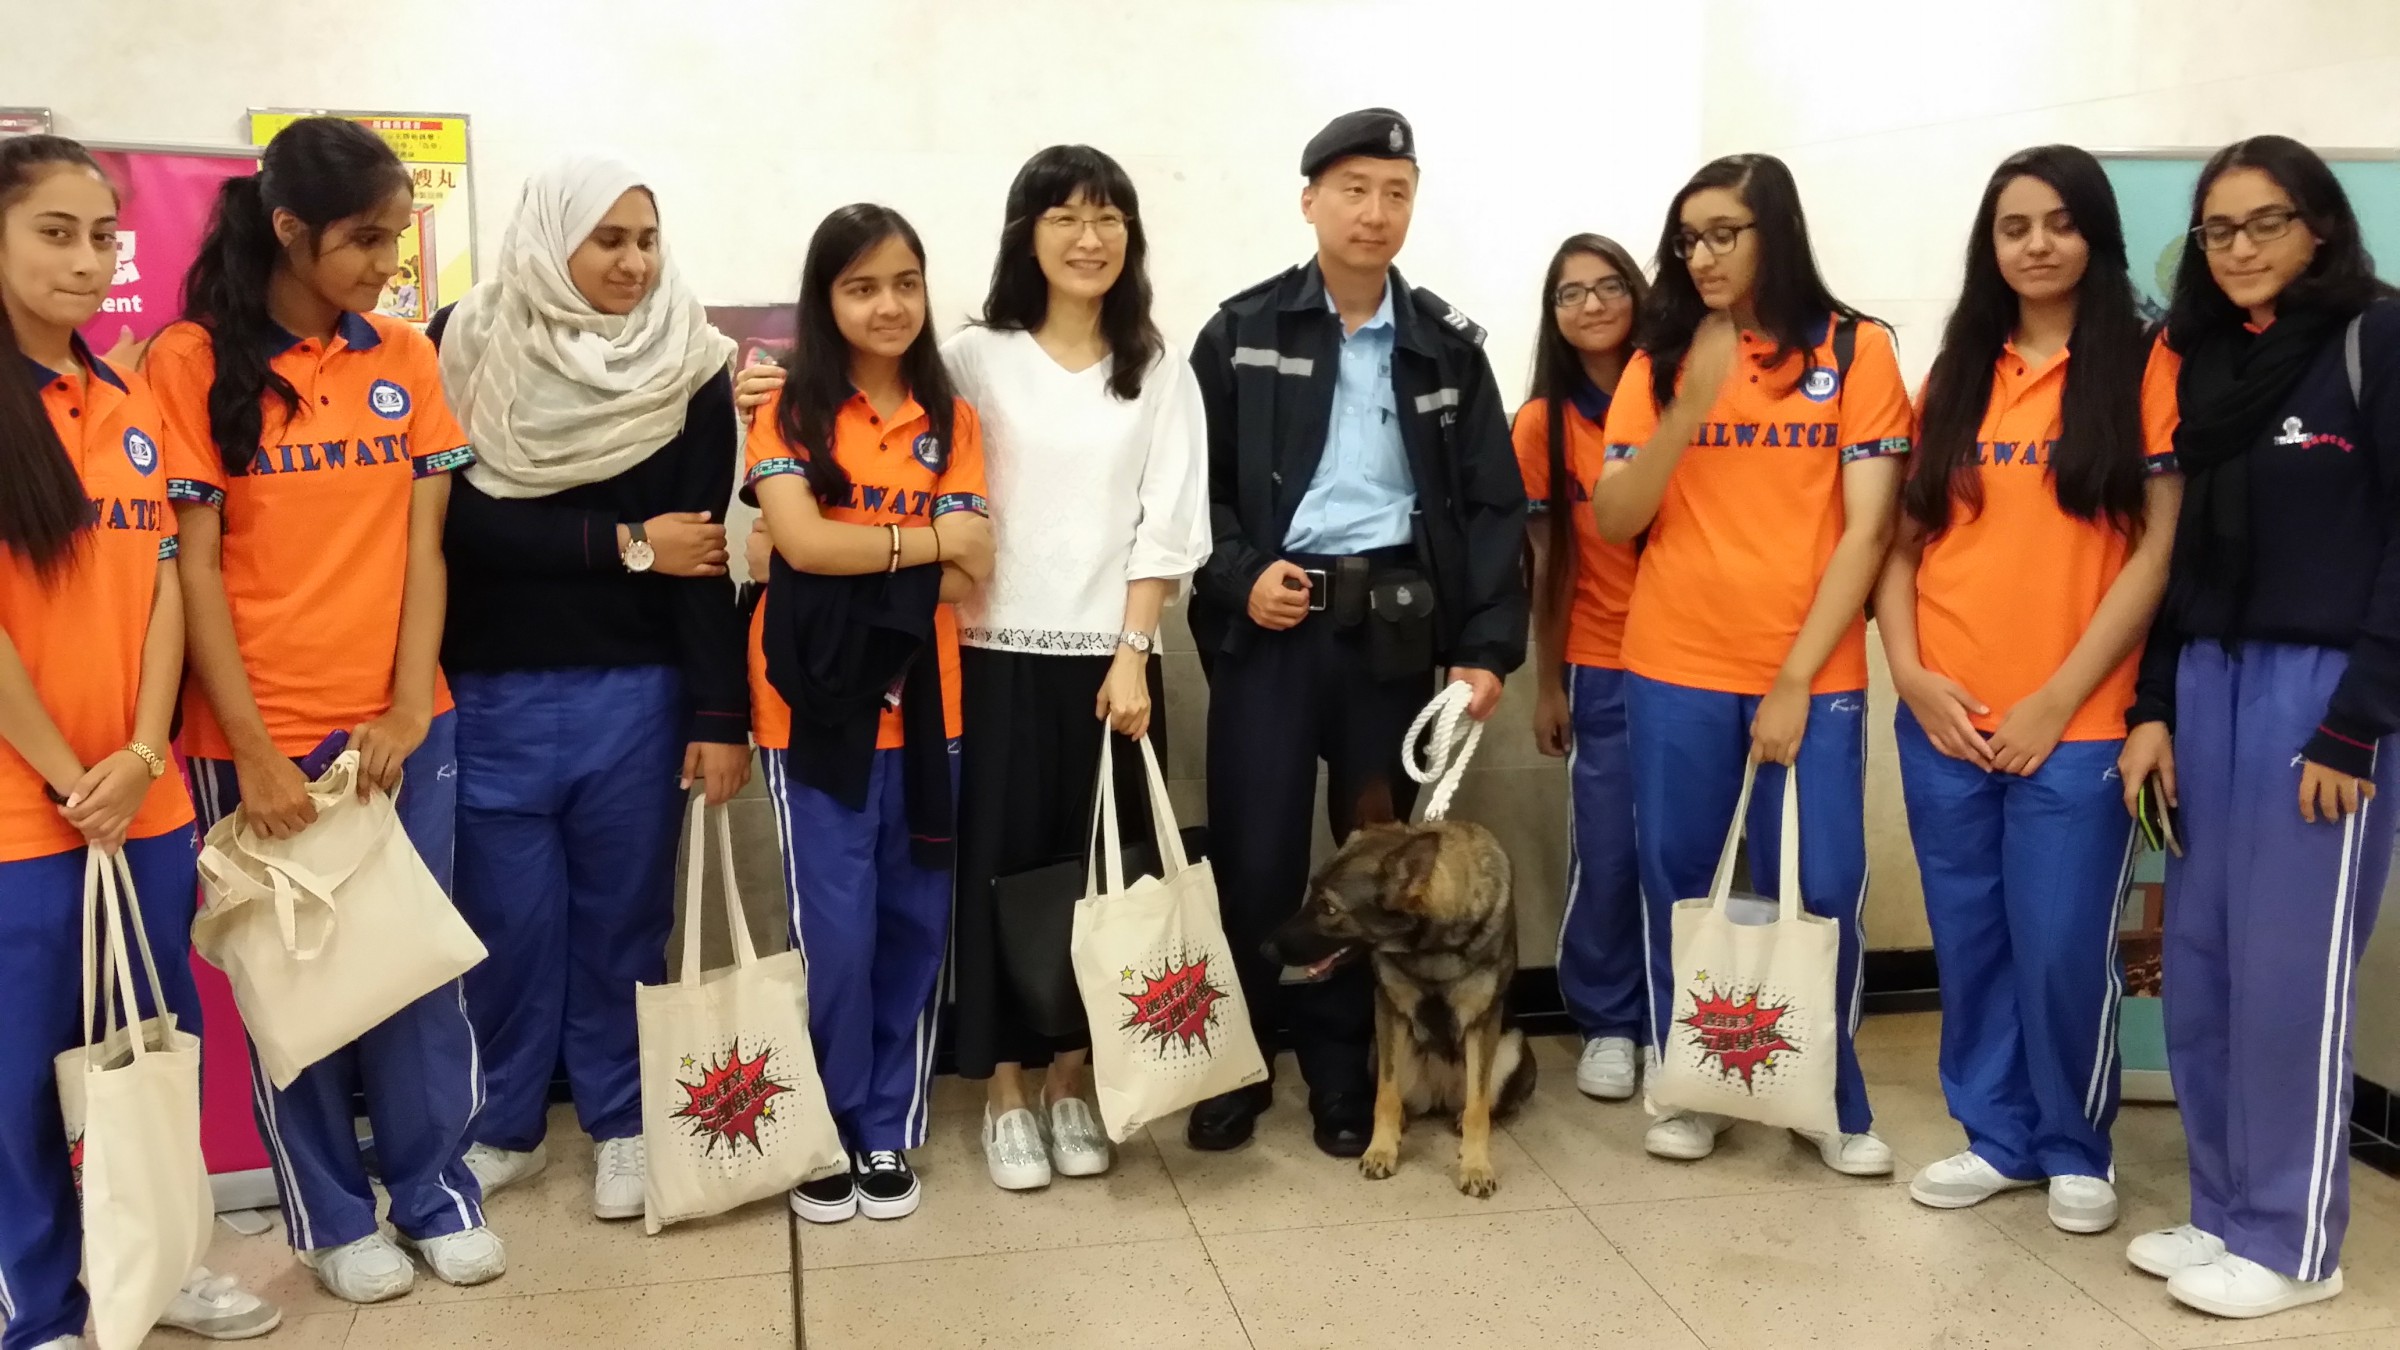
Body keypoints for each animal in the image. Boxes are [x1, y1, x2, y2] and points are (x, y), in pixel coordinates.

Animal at [1262, 819, 1536, 1196]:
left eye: (1329, 908)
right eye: (1311, 893)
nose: (1265, 950)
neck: (1431, 948)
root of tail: (1440, 1095)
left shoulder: (1483, 1022)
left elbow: (1477, 1109)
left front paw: (1476, 1166)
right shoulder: (1389, 1011)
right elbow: (1386, 1097)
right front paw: (1381, 1149)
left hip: (1511, 1047)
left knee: (1482, 1104)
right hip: (1377, 1049)